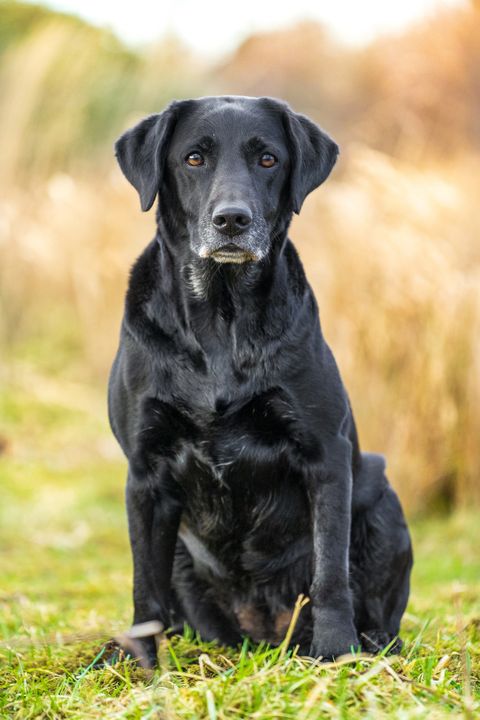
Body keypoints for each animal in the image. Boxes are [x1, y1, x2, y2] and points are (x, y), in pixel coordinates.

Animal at [109, 95, 412, 668]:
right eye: (194, 158)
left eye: (268, 159)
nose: (232, 219)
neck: (221, 316)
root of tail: (263, 636)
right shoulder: (145, 472)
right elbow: (142, 585)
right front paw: (135, 663)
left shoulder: (326, 454)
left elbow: (330, 572)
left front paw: (336, 651)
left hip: (380, 493)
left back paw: (370, 645)